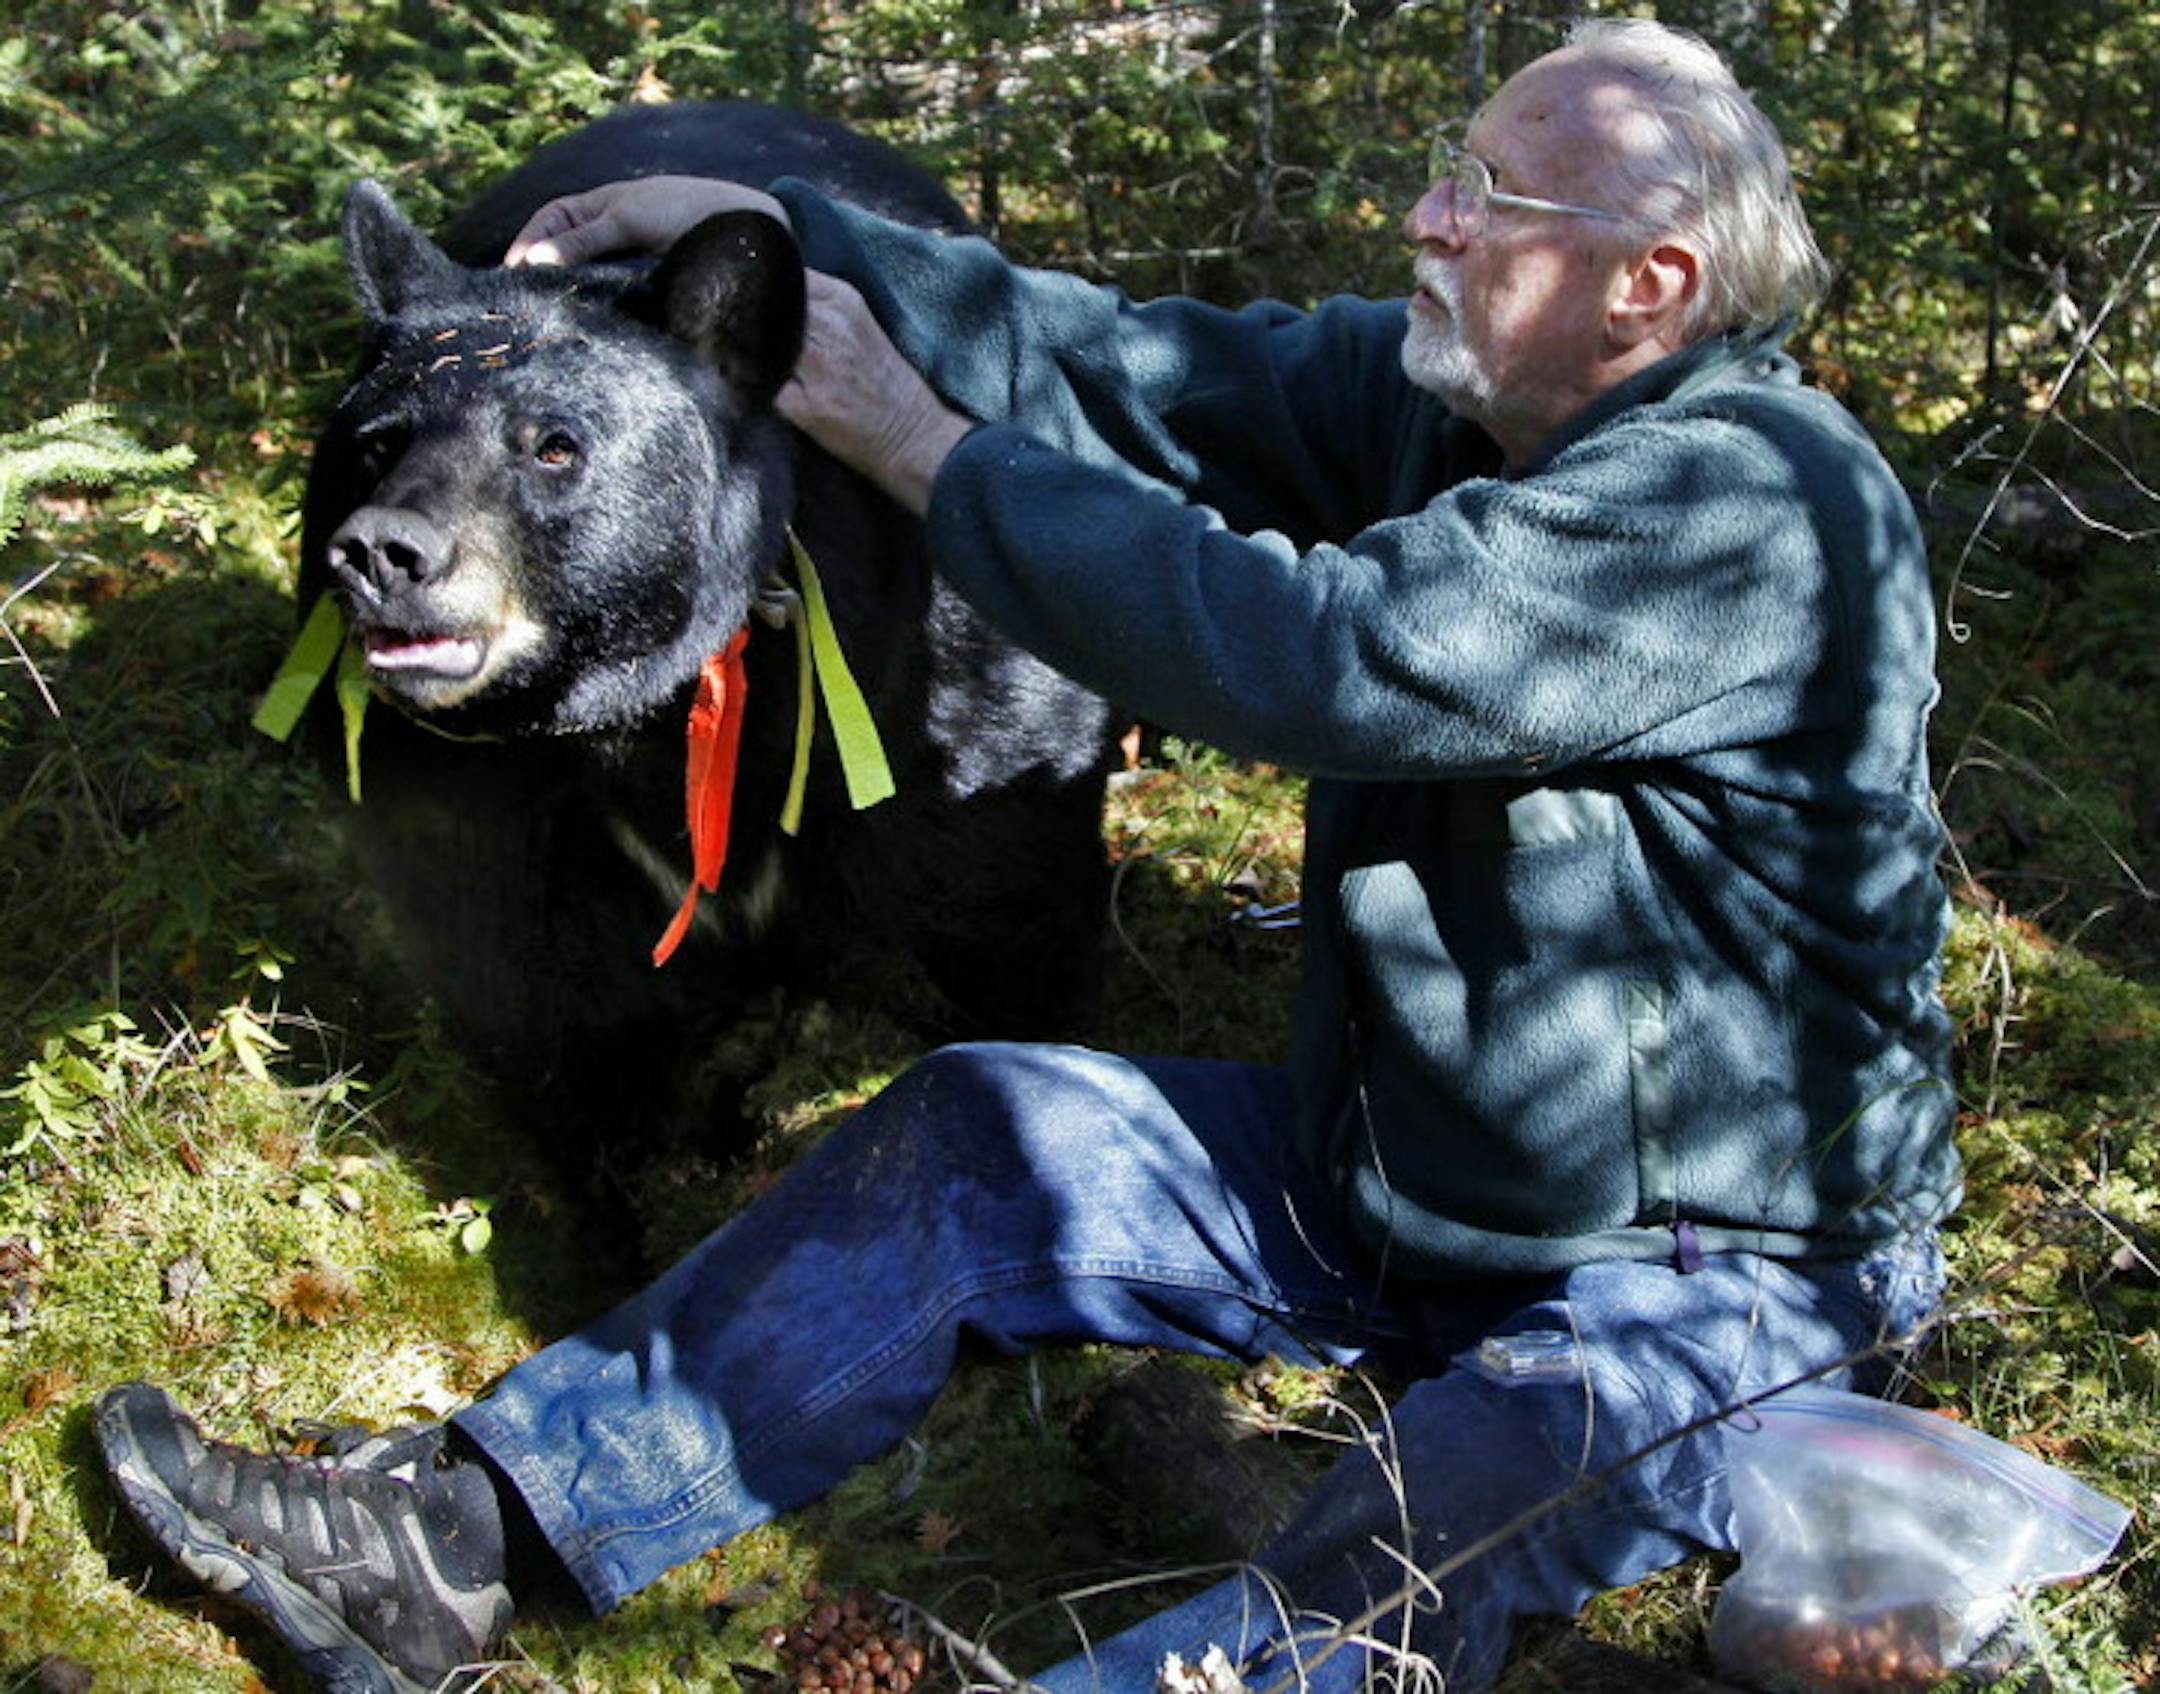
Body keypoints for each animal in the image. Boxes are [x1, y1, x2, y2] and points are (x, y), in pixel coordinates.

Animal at [283, 102, 1117, 1167]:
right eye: (379, 442)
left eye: (554, 446)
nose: (382, 552)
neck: (647, 716)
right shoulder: (489, 828)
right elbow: (551, 1033)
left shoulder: (953, 727)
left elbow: (1008, 921)